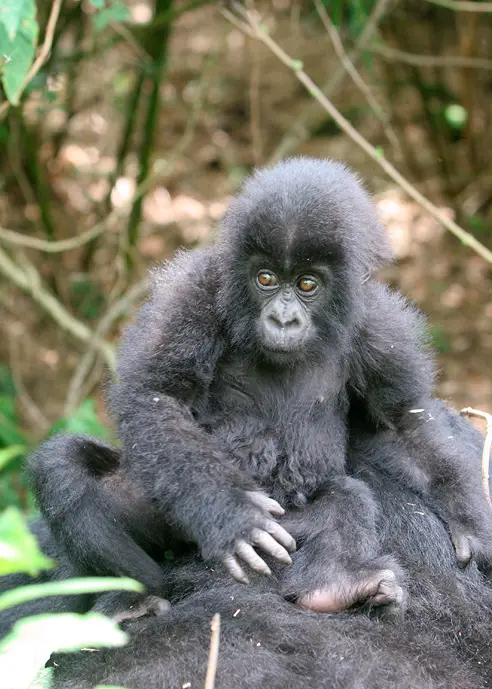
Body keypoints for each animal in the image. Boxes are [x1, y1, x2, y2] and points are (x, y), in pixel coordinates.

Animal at [28, 156, 492, 612]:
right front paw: (230, 513)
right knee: (63, 468)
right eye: (265, 278)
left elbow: (400, 424)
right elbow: (157, 397)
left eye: (307, 284)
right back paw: (132, 597)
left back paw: (337, 585)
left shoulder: (382, 328)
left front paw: (468, 518)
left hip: (289, 524)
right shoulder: (194, 290)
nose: (282, 319)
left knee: (344, 499)